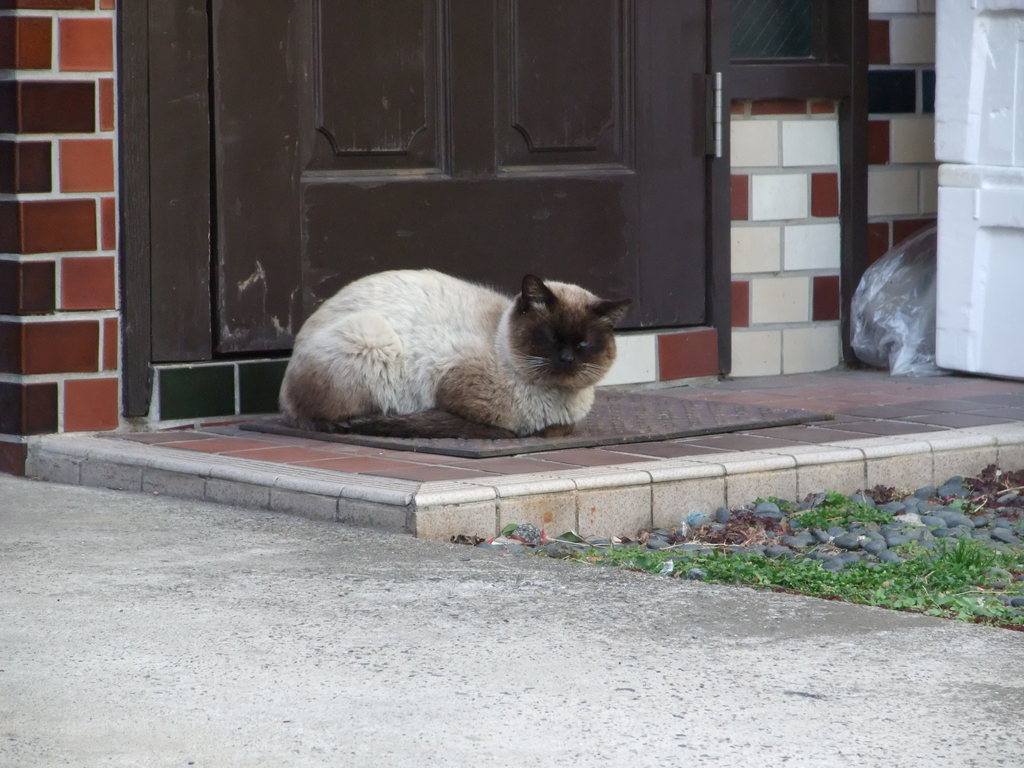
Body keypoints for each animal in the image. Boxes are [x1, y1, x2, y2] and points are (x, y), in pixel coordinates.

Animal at [280, 270, 630, 438]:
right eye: (549, 337)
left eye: (583, 345)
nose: (567, 359)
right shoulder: (452, 381)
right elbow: (507, 426)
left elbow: (562, 428)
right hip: (370, 336)